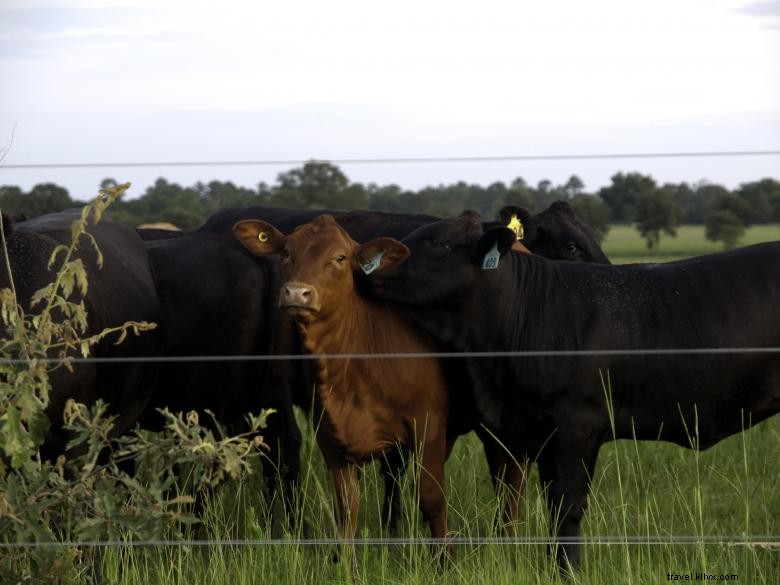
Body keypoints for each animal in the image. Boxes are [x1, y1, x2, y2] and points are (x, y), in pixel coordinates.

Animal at [235, 214, 458, 556]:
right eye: (286, 252)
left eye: (340, 258)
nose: (296, 293)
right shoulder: (329, 435)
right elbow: (347, 508)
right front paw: (345, 562)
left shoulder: (429, 425)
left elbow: (432, 499)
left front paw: (444, 560)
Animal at [364, 211, 780, 572]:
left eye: (436, 242)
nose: (367, 258)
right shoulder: (539, 429)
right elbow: (551, 503)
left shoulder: (577, 425)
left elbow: (568, 506)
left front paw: (568, 570)